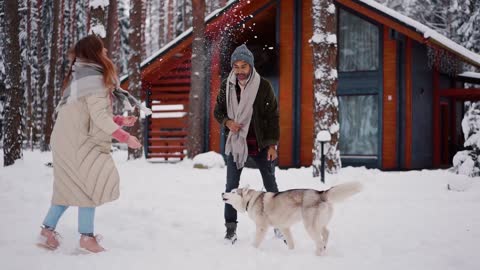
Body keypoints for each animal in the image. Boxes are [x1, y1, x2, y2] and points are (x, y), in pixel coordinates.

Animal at [223, 181, 362, 255]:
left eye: (233, 192)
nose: (222, 193)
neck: (251, 199)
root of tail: (320, 193)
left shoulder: (262, 227)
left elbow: (256, 242)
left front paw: (251, 250)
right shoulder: (284, 228)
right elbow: (290, 243)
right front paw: (291, 253)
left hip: (310, 226)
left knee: (319, 241)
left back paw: (317, 255)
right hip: (318, 224)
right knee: (326, 233)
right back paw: (324, 249)